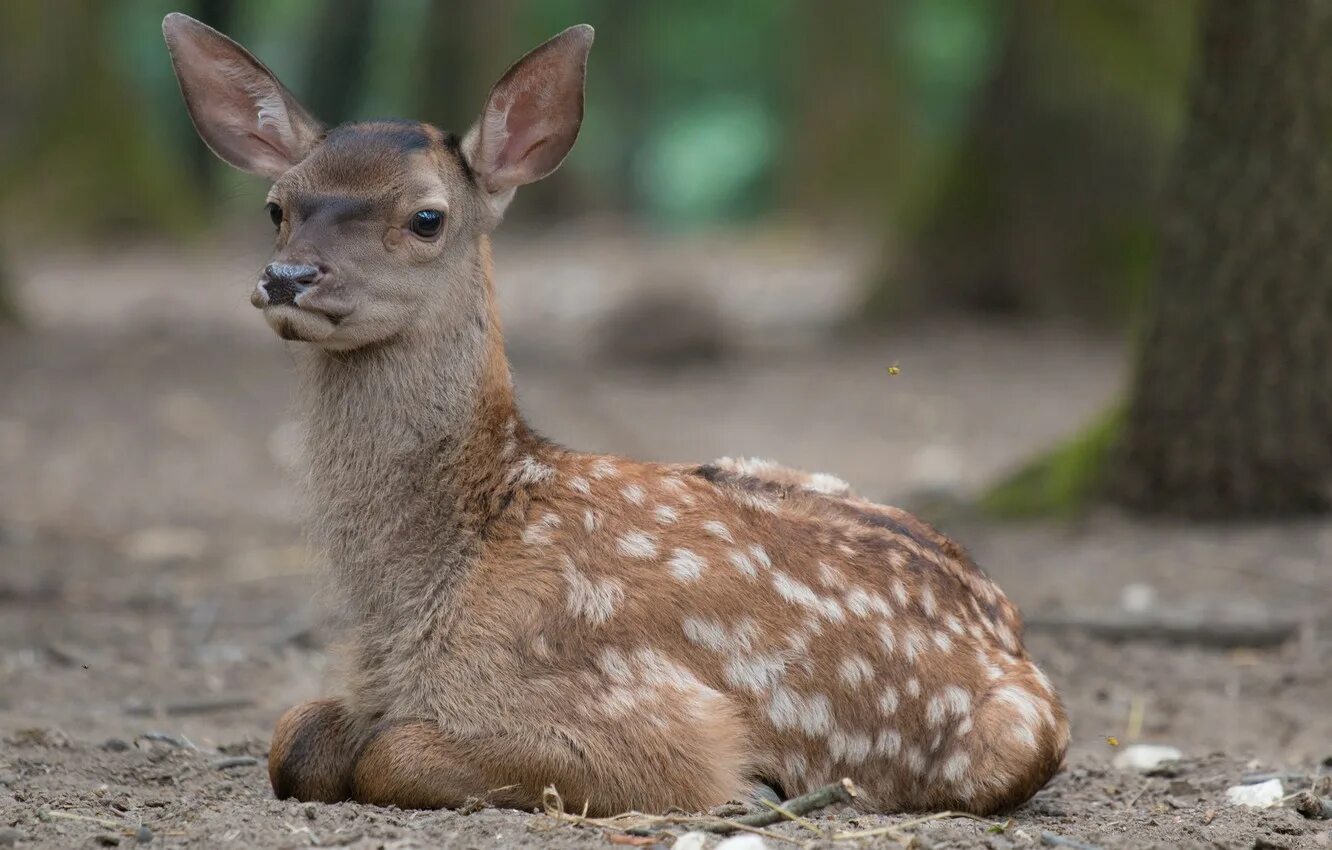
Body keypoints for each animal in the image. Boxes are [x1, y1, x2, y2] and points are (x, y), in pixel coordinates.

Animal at [158, 11, 1070, 820]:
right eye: (277, 207)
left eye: (426, 217)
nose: (286, 277)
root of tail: (1010, 625)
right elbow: (293, 734)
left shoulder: (648, 714)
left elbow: (392, 752)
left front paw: (754, 787)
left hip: (1017, 734)